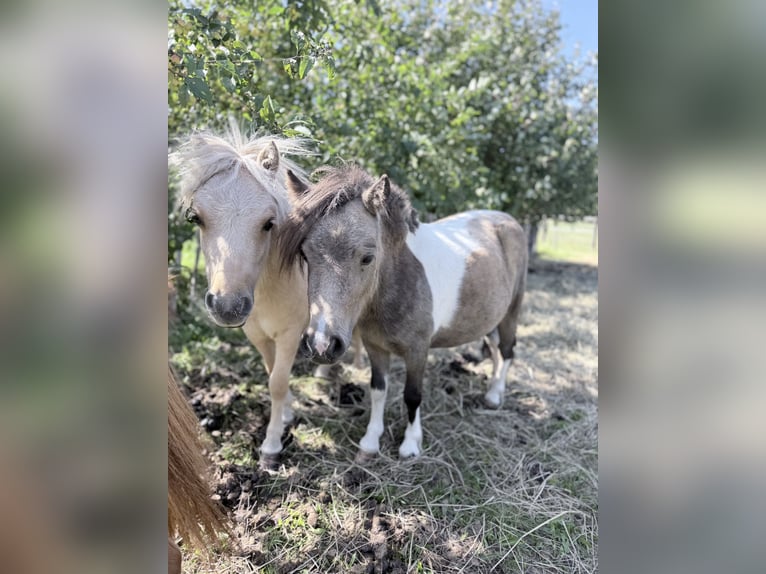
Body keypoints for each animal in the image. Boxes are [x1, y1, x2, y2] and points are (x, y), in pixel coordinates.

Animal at [277, 166, 527, 458]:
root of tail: (507, 220)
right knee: (496, 347)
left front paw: (410, 444)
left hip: (512, 310)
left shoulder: (418, 350)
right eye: (305, 255)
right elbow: (378, 390)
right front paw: (370, 441)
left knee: (507, 349)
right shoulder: (375, 347)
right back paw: (491, 391)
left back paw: (495, 396)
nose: (321, 344)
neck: (400, 279)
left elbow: (412, 395)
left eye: (367, 258)